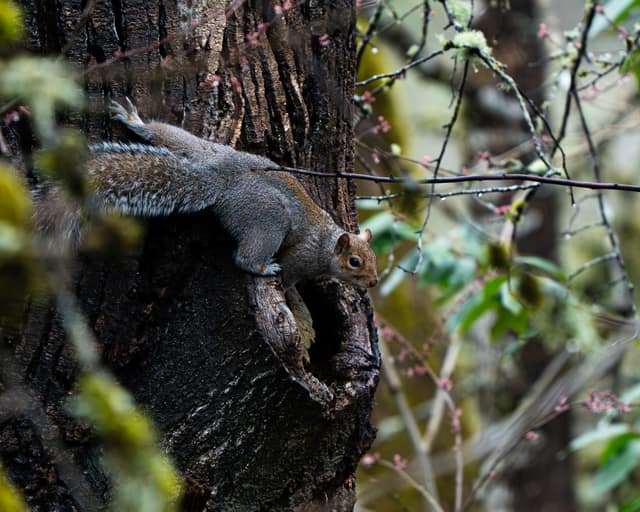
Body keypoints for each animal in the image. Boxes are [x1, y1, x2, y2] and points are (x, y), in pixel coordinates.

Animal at [39, 99, 378, 291]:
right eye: (355, 262)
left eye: (374, 259)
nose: (373, 282)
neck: (327, 242)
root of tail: (219, 179)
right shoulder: (302, 258)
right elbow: (291, 278)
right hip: (267, 220)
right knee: (244, 257)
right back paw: (262, 267)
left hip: (201, 148)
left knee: (168, 135)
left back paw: (138, 123)